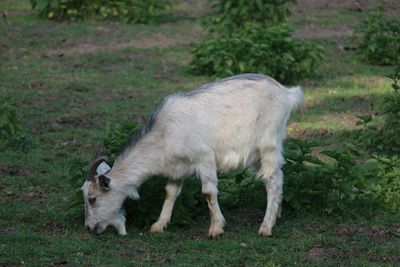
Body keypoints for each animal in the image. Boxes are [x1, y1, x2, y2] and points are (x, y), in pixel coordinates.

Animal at [82, 74, 304, 239]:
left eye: (92, 199)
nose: (89, 228)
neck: (165, 134)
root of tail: (286, 93)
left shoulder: (204, 158)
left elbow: (208, 192)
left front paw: (216, 229)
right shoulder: (178, 168)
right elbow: (170, 192)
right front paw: (158, 225)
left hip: (267, 144)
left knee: (272, 180)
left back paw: (266, 227)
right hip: (256, 154)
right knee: (278, 176)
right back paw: (277, 215)